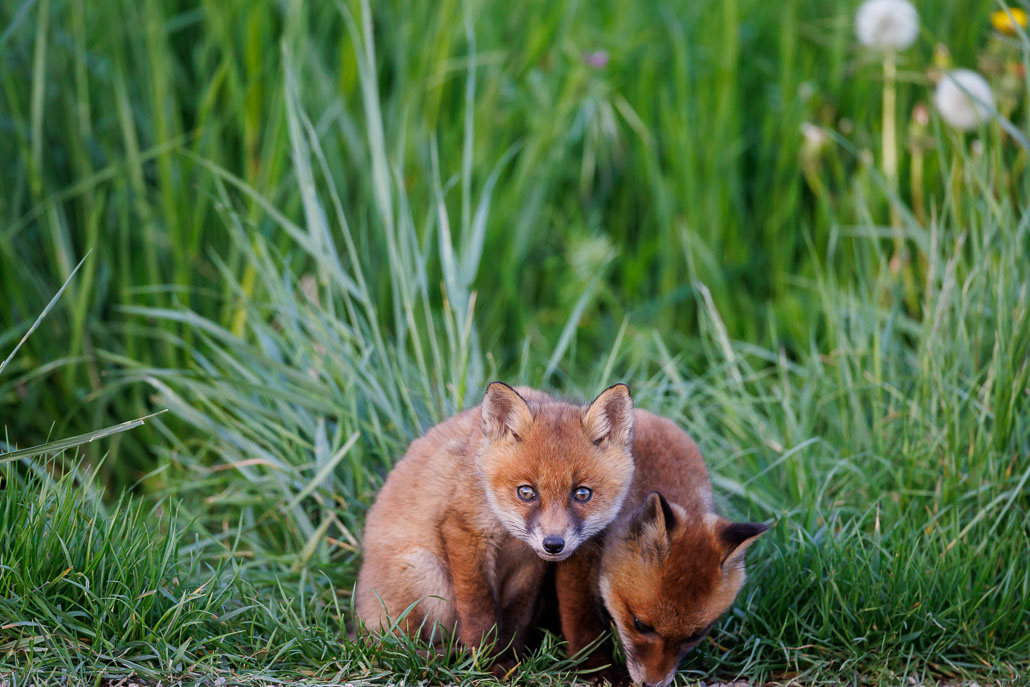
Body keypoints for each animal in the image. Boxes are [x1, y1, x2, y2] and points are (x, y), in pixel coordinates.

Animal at [355, 381, 636, 655]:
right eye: (526, 492)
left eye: (582, 494)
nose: (554, 544)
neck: (507, 534)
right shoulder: (464, 529)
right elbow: (479, 611)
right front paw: (487, 660)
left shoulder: (528, 564)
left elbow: (518, 615)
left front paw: (512, 657)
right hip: (426, 572)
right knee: (397, 646)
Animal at [552, 409, 768, 687]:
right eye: (641, 625)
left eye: (694, 636)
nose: (652, 685)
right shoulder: (578, 550)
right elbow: (580, 616)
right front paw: (595, 666)